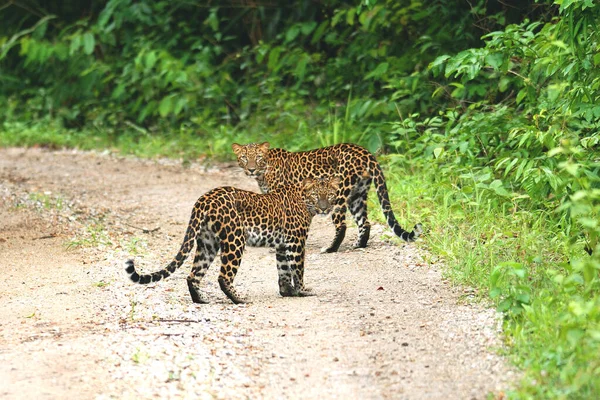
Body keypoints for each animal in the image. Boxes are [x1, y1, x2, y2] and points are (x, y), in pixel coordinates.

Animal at [124, 177, 340, 304]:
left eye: (330, 195)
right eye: (316, 195)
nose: (324, 208)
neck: (303, 199)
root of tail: (204, 199)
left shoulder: (282, 244)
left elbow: (284, 269)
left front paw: (288, 291)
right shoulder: (296, 241)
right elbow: (298, 267)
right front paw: (303, 290)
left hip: (207, 243)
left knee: (192, 275)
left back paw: (201, 300)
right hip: (235, 239)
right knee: (223, 276)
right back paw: (240, 299)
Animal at [231, 141, 422, 253]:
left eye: (258, 157)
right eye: (244, 158)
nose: (251, 169)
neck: (264, 171)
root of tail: (365, 153)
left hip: (339, 195)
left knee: (342, 225)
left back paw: (330, 248)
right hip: (357, 195)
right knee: (364, 222)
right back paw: (358, 245)